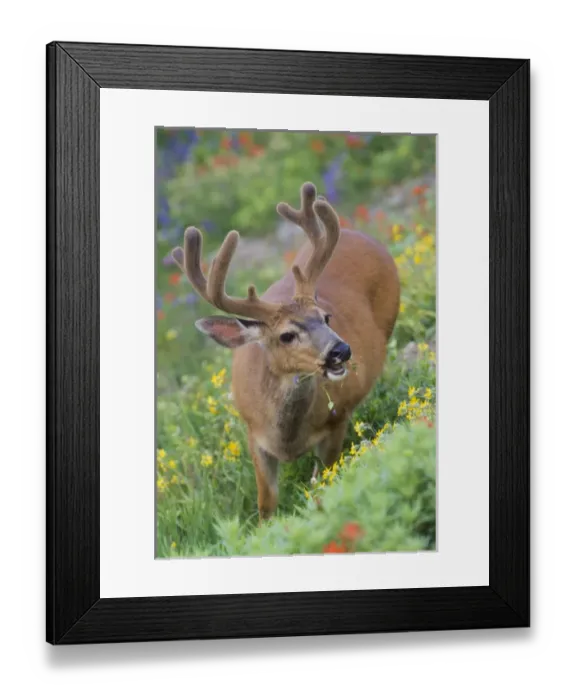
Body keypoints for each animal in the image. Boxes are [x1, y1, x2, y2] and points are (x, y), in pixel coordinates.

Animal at [171, 182, 400, 522]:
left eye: (326, 317)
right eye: (287, 335)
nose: (341, 350)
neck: (288, 439)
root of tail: (357, 233)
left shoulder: (337, 422)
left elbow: (323, 481)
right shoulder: (254, 435)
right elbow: (266, 503)